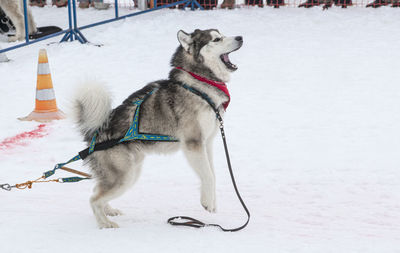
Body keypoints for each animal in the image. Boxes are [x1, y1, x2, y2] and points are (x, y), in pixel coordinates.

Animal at [74, 28, 244, 228]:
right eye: (217, 39)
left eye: (222, 34)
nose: (240, 37)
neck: (198, 82)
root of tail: (96, 132)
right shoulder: (193, 143)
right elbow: (208, 175)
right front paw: (207, 202)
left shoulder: (206, 142)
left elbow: (211, 174)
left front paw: (211, 200)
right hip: (124, 176)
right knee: (93, 199)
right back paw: (105, 224)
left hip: (130, 172)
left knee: (97, 190)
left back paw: (109, 211)